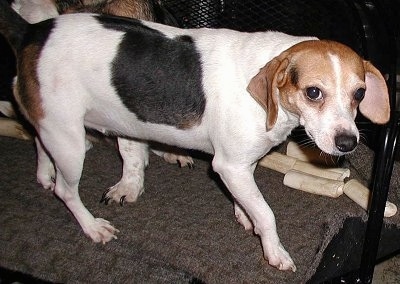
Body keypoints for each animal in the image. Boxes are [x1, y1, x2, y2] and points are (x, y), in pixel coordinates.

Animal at [0, 0, 390, 272]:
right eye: (313, 93)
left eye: (359, 93)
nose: (348, 143)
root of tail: (33, 33)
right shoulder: (230, 165)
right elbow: (266, 213)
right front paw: (274, 251)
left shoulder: (238, 166)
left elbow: (247, 201)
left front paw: (243, 214)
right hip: (69, 143)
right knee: (66, 192)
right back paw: (92, 227)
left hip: (55, 127)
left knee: (41, 143)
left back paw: (45, 173)